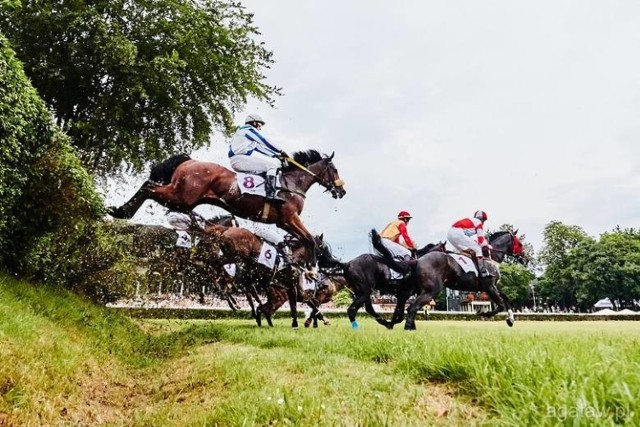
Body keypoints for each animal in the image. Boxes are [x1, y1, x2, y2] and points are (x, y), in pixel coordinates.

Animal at [110, 150, 350, 264]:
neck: (291, 185)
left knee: (148, 186)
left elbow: (305, 240)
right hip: (181, 197)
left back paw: (118, 210)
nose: (342, 191)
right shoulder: (290, 218)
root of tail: (188, 161)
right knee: (148, 187)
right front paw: (311, 267)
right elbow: (310, 239)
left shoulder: (283, 222)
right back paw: (123, 211)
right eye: (335, 169)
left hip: (180, 197)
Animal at [318, 237, 448, 332]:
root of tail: (347, 264)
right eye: (446, 251)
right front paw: (396, 324)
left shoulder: (404, 294)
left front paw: (401, 325)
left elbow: (401, 310)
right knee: (352, 309)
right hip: (365, 291)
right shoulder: (405, 292)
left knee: (368, 309)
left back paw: (383, 322)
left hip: (363, 292)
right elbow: (401, 312)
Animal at [372, 229, 528, 330]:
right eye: (520, 244)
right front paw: (484, 313)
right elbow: (500, 304)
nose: (525, 258)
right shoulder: (489, 287)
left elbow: (506, 299)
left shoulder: (489, 288)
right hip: (432, 290)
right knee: (412, 307)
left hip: (415, 290)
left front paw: (510, 319)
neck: (490, 258)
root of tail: (418, 261)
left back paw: (393, 324)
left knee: (403, 306)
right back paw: (407, 328)